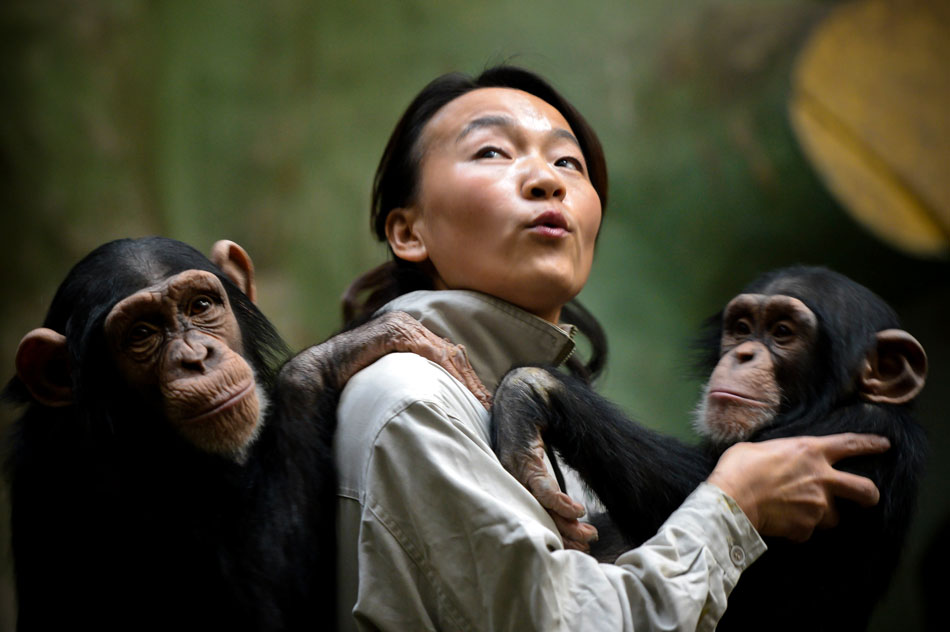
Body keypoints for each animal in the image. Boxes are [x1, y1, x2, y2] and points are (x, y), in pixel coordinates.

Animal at [498, 266, 928, 632]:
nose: (743, 354)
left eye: (783, 331)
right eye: (742, 328)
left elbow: (706, 488)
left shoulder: (863, 430)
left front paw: (533, 389)